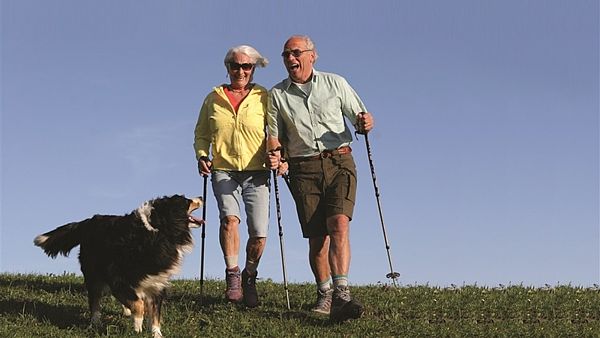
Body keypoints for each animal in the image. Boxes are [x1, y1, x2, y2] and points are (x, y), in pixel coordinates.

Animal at [34, 194, 204, 336]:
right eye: (187, 200)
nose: (202, 197)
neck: (158, 230)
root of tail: (90, 221)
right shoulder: (117, 277)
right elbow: (139, 305)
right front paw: (137, 328)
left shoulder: (157, 283)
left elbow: (155, 314)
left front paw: (156, 334)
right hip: (93, 273)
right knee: (95, 299)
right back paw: (96, 322)